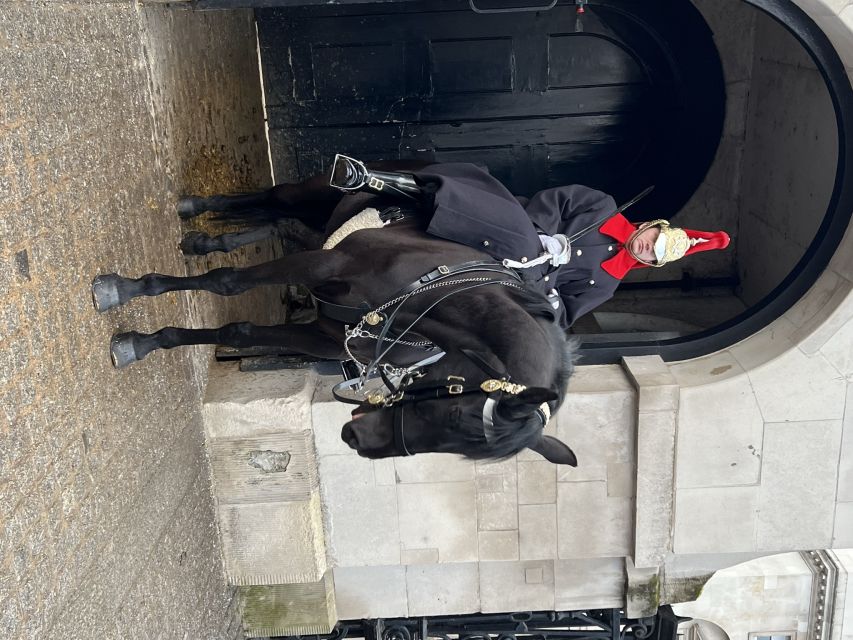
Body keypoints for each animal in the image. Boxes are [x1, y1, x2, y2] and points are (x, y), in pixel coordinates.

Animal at [93, 165, 580, 464]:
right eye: (454, 413)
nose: (359, 442)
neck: (429, 294)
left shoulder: (326, 334)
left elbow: (240, 331)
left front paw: (152, 339)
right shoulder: (323, 266)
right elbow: (226, 283)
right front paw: (127, 297)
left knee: (278, 222)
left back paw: (205, 240)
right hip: (319, 195)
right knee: (275, 199)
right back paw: (194, 208)